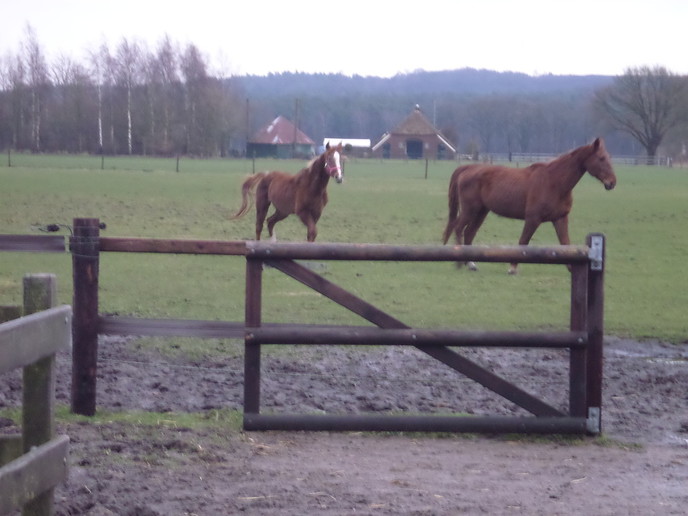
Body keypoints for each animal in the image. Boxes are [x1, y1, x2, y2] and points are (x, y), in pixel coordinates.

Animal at [442, 138, 617, 274]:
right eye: (601, 158)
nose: (612, 182)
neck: (554, 181)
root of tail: (468, 168)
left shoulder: (560, 219)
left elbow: (565, 243)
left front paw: (571, 267)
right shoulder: (533, 219)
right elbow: (523, 242)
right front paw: (512, 268)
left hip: (481, 212)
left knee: (469, 232)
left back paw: (470, 263)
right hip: (470, 210)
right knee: (459, 228)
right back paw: (460, 262)